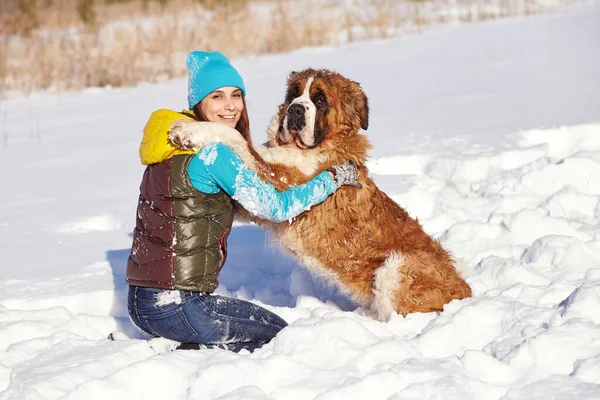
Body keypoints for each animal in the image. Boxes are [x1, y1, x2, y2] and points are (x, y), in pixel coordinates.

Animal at [166, 67, 472, 320]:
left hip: (395, 268)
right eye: (294, 93)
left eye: (320, 100)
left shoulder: (279, 183)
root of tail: (466, 290)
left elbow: (238, 139)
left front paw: (188, 130)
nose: (295, 110)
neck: (312, 148)